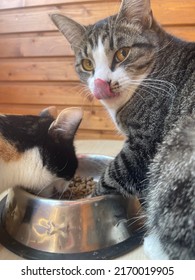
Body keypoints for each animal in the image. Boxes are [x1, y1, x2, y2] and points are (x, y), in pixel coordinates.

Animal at [50, 0, 195, 260]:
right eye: (87, 64)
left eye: (122, 53)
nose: (102, 83)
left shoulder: (144, 145)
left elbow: (114, 172)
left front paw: (91, 196)